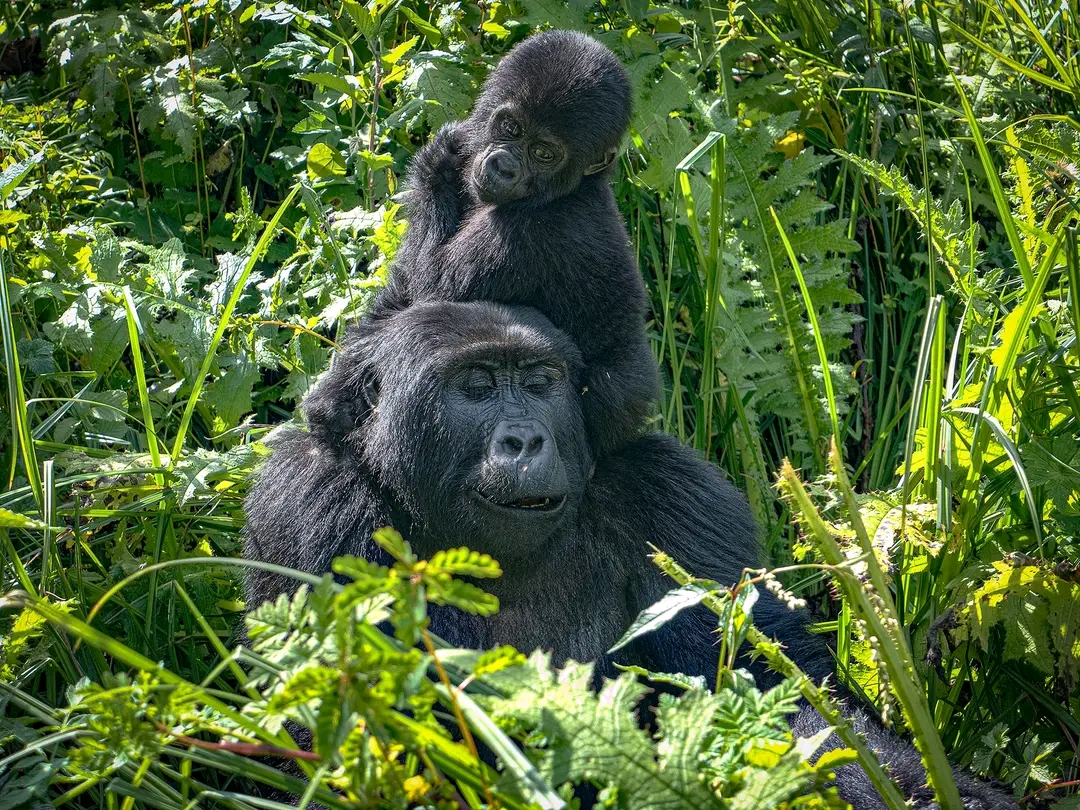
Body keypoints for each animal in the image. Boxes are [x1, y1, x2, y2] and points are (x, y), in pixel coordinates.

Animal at [245, 302, 1010, 807]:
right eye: (478, 387)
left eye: (540, 382)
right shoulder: (310, 504)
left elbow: (774, 691)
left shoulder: (670, 494)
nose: (526, 439)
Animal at [371, 30, 656, 457]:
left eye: (543, 153)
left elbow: (428, 299)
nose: (503, 166)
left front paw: (437, 164)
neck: (573, 188)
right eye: (511, 128)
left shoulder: (523, 235)